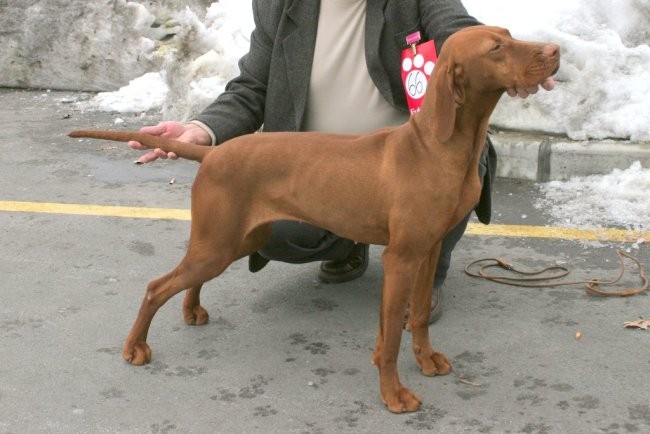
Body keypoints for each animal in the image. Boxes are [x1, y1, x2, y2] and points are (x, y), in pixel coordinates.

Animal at [69, 25, 556, 412]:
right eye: (496, 48)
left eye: (510, 36)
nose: (554, 52)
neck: (438, 147)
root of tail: (213, 153)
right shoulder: (401, 257)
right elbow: (390, 338)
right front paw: (394, 395)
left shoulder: (429, 248)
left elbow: (415, 316)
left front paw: (426, 360)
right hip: (219, 241)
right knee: (156, 287)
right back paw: (135, 347)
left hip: (235, 240)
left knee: (188, 280)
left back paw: (191, 311)